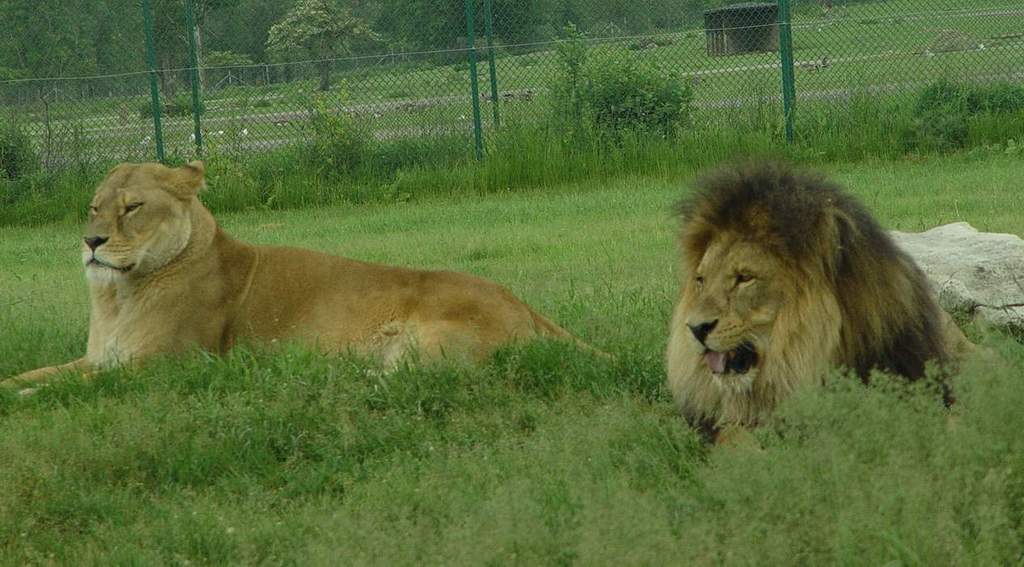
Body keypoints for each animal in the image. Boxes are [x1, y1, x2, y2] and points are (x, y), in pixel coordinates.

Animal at [2, 158, 593, 388]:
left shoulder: (165, 366)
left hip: (426, 347)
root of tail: (520, 301)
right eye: (93, 208)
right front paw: (15, 387)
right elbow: (41, 374)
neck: (120, 294)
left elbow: (71, 386)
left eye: (132, 208)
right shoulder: (103, 356)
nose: (91, 242)